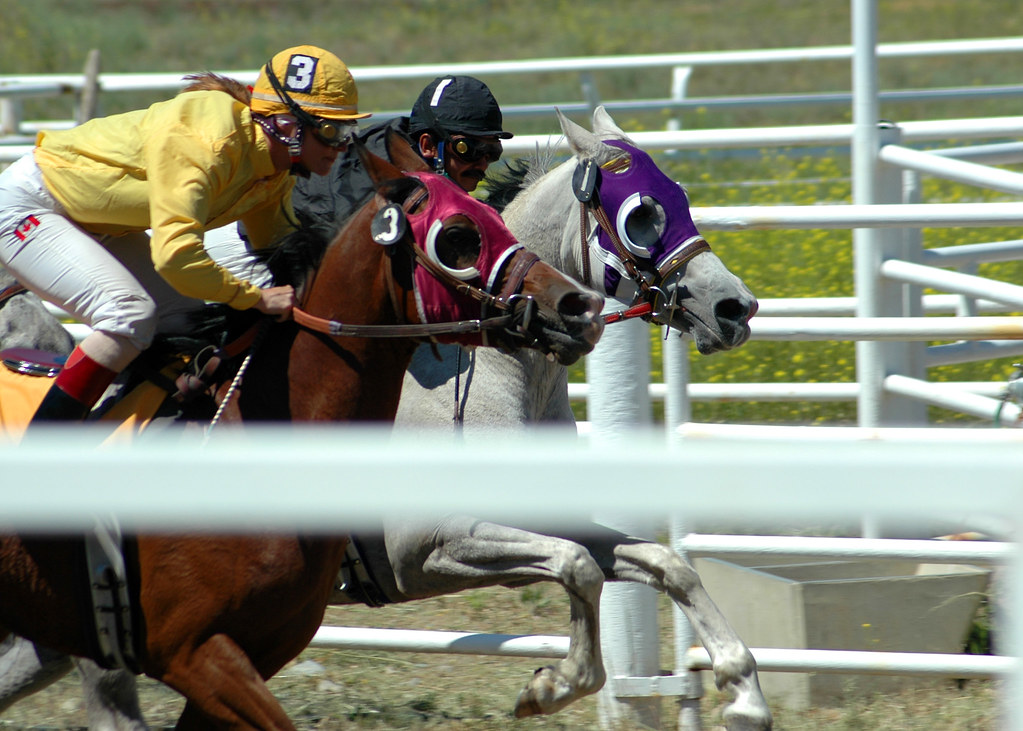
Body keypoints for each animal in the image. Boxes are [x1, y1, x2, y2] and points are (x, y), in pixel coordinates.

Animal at [0, 108, 770, 730]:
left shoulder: (540, 519)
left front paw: (740, 691)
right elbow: (576, 566)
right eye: (642, 215)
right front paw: (550, 685)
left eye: (682, 197)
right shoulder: (429, 546)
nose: (735, 306)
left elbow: (662, 563)